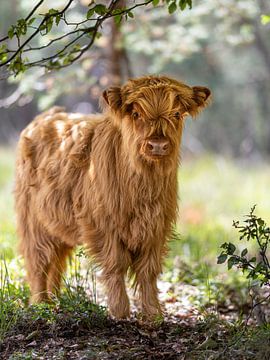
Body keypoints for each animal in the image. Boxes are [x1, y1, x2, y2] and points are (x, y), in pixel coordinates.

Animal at [15, 75, 211, 318]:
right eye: (136, 114)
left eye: (176, 114)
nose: (158, 145)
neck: (143, 188)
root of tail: (49, 116)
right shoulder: (104, 225)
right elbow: (116, 264)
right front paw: (120, 312)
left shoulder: (157, 226)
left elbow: (148, 270)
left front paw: (153, 314)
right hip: (33, 222)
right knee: (38, 262)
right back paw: (41, 305)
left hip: (58, 225)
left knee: (56, 263)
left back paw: (55, 301)